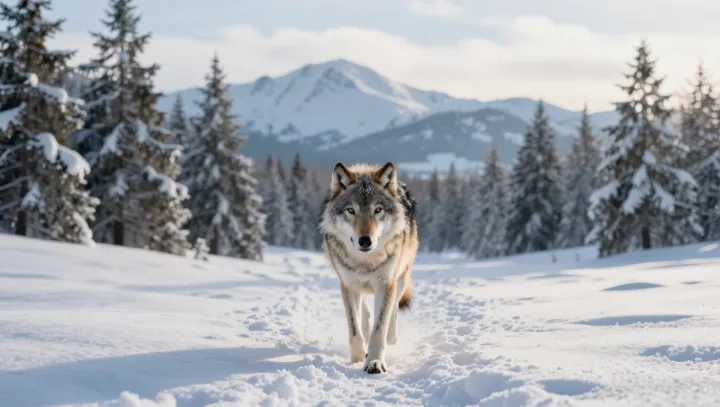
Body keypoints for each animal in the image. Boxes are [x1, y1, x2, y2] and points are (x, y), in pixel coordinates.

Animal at [319, 161, 418, 374]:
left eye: (378, 209)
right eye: (351, 210)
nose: (365, 240)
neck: (365, 262)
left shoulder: (386, 284)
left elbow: (379, 330)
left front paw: (374, 362)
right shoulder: (348, 285)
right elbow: (354, 329)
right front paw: (357, 358)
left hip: (401, 277)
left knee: (394, 309)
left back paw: (391, 336)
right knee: (364, 311)